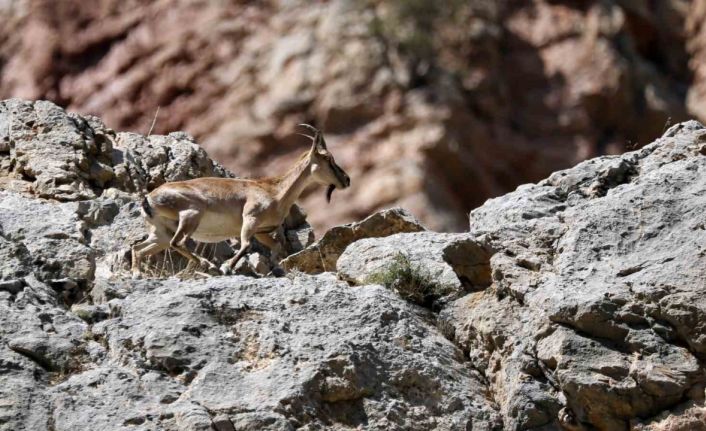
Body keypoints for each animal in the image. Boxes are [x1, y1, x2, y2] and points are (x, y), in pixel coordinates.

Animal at [130, 124, 350, 276]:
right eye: (328, 158)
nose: (346, 179)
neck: (275, 192)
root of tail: (149, 199)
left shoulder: (261, 231)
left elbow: (275, 247)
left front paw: (277, 269)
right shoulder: (250, 219)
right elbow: (245, 245)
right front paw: (227, 267)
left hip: (160, 233)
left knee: (139, 249)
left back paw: (137, 273)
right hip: (191, 215)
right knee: (178, 242)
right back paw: (209, 265)